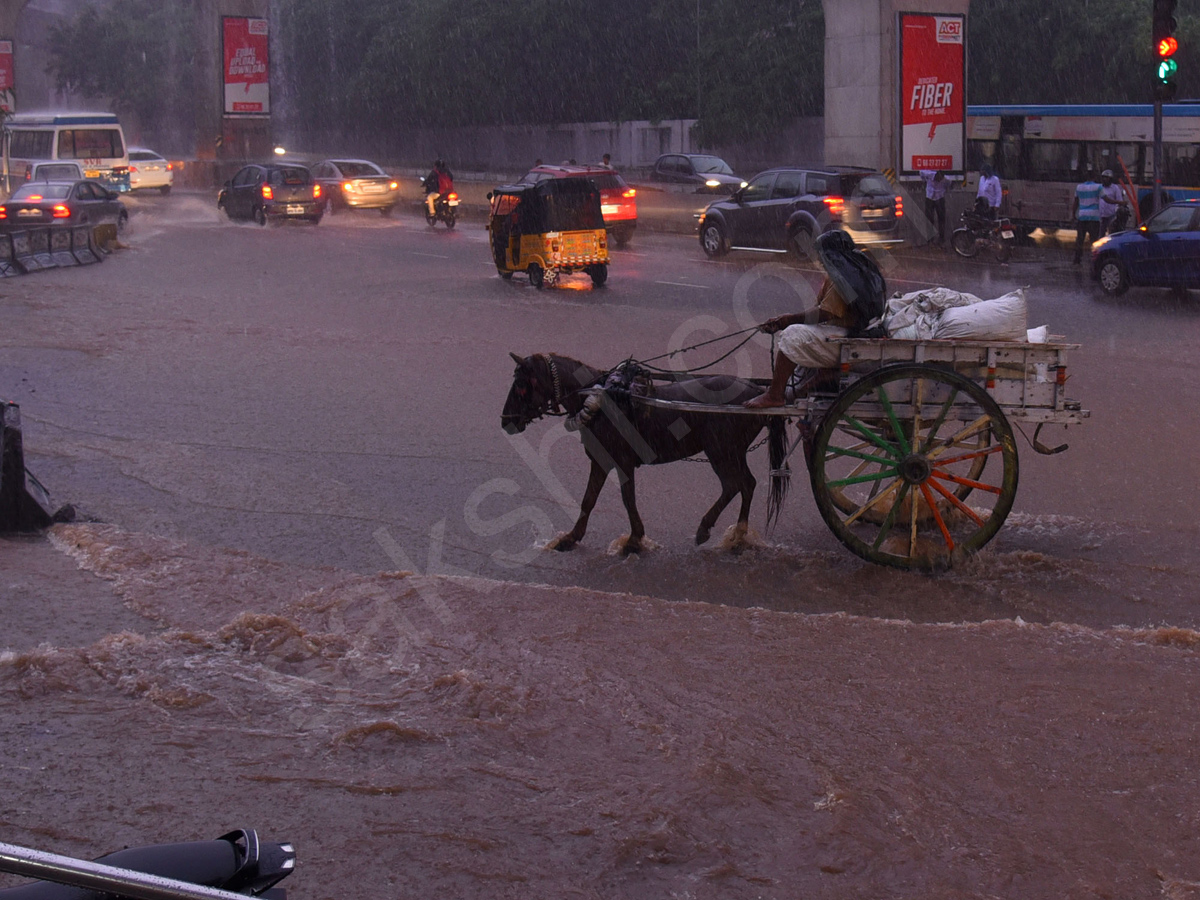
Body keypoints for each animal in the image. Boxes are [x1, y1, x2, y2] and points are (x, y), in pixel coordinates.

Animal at [499, 355, 787, 554]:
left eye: (522, 384)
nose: (505, 420)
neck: (602, 397)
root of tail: (755, 392)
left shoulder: (623, 463)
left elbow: (628, 499)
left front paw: (634, 540)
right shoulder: (601, 462)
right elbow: (588, 500)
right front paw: (571, 537)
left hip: (722, 451)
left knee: (736, 484)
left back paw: (716, 531)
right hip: (732, 452)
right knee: (746, 484)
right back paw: (737, 535)